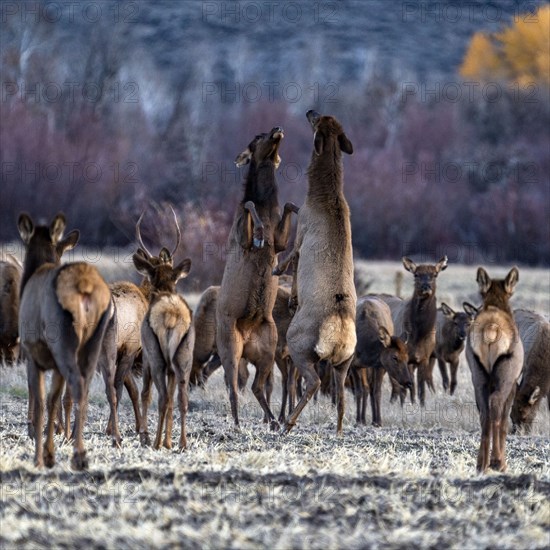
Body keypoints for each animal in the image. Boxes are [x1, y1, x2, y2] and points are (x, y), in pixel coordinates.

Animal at [18, 213, 112, 472]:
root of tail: (84, 287)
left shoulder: (32, 352)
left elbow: (40, 402)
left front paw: (39, 455)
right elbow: (53, 401)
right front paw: (50, 453)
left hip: (62, 339)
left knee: (77, 384)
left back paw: (78, 456)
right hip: (93, 342)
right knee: (85, 388)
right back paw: (78, 449)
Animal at [218, 128, 300, 432]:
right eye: (258, 136)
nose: (277, 129)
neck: (268, 205)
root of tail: (247, 339)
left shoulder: (280, 243)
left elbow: (288, 206)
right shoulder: (241, 238)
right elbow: (250, 207)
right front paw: (260, 233)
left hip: (269, 348)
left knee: (256, 386)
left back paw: (275, 420)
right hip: (229, 344)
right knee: (232, 386)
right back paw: (238, 422)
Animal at [468, 268, 524, 474]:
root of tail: (491, 329)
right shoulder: (514, 384)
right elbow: (505, 422)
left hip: (478, 377)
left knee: (484, 414)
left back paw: (481, 464)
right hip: (504, 378)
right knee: (496, 407)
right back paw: (497, 461)